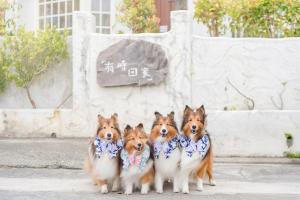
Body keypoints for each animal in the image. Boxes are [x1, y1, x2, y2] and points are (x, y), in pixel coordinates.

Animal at [84, 104, 216, 194]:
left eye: (167, 125)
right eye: (160, 125)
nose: (164, 130)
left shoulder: (179, 166)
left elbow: (188, 178)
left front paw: (180, 189)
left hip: (207, 162)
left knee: (209, 171)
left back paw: (212, 181)